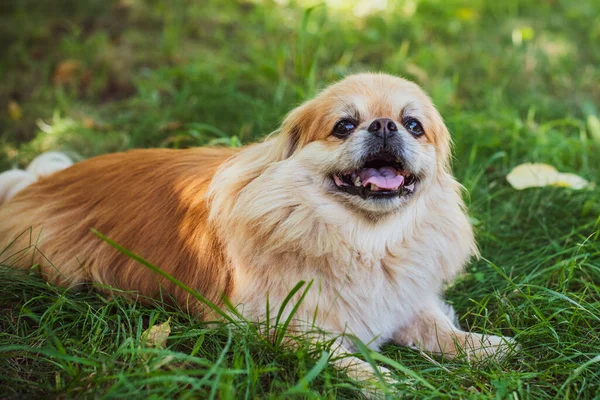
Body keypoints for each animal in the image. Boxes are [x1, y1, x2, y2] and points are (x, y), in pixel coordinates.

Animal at [0, 72, 516, 384]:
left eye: (413, 126)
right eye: (344, 126)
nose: (386, 125)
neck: (362, 241)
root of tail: (35, 185)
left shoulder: (401, 301)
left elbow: (437, 327)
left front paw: (487, 348)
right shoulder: (277, 325)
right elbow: (340, 356)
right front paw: (382, 380)